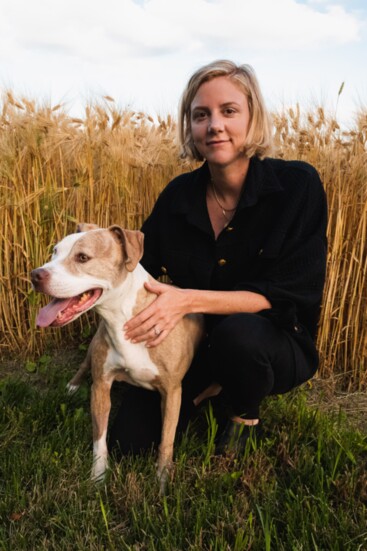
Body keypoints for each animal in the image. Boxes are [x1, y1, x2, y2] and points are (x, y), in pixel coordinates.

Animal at [30, 224, 206, 492]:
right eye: (54, 251)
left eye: (83, 257)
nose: (35, 275)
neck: (120, 318)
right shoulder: (101, 385)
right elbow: (99, 438)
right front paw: (98, 477)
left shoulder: (172, 391)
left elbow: (166, 438)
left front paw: (162, 481)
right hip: (93, 346)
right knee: (84, 364)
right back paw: (73, 385)